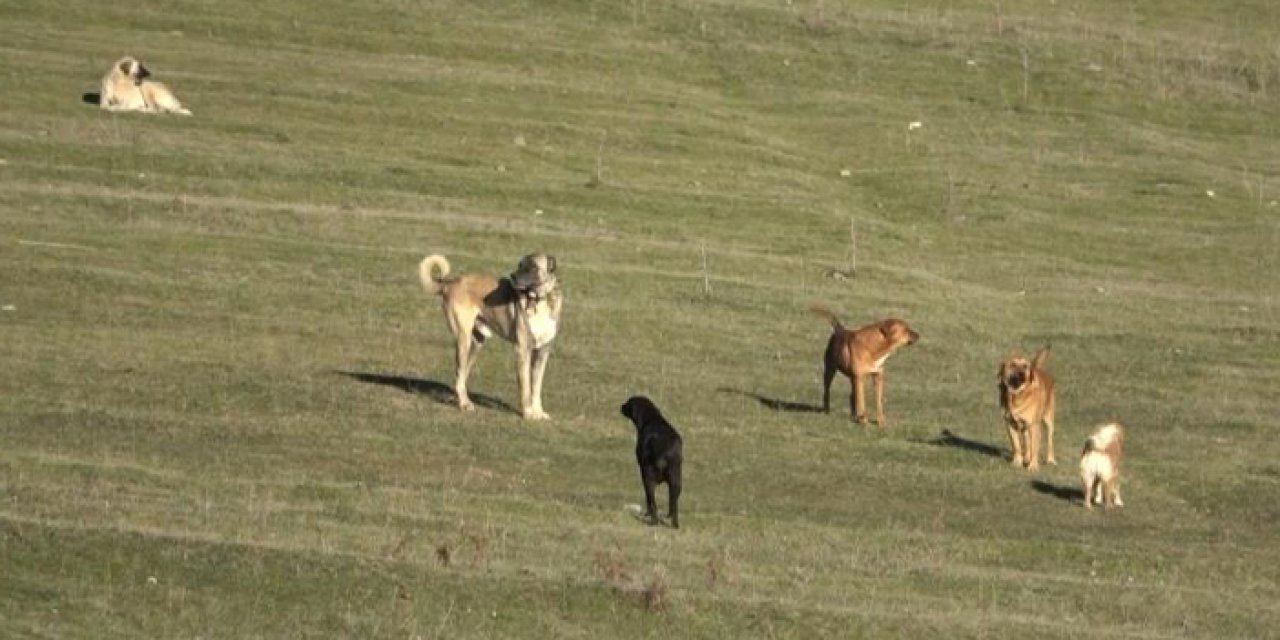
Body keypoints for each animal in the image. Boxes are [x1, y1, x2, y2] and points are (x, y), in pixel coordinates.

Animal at [419, 252, 560, 422]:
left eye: (533, 267)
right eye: (520, 265)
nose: (512, 276)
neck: (540, 300)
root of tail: (450, 283)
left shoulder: (543, 352)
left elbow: (536, 387)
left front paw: (539, 412)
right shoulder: (522, 350)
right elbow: (526, 387)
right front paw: (528, 414)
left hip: (477, 343)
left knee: (461, 376)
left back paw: (459, 399)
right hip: (463, 340)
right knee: (459, 373)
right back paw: (465, 404)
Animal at [616, 396, 680, 527]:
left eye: (628, 402)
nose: (621, 406)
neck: (652, 419)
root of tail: (664, 449)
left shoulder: (643, 472)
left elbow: (648, 500)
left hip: (648, 477)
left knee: (652, 502)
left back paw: (653, 521)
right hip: (676, 481)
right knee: (673, 504)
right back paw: (674, 524)